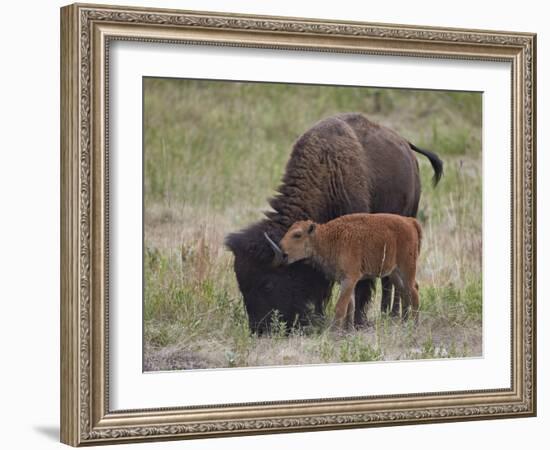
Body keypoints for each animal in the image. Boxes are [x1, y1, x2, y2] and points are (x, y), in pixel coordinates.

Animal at [278, 213, 424, 328]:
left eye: (297, 234)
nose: (282, 252)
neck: (327, 238)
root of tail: (410, 221)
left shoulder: (349, 279)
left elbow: (340, 307)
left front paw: (335, 331)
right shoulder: (346, 281)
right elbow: (350, 307)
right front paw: (348, 329)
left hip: (406, 269)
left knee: (414, 291)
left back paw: (415, 324)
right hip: (394, 273)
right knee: (406, 292)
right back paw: (404, 322)